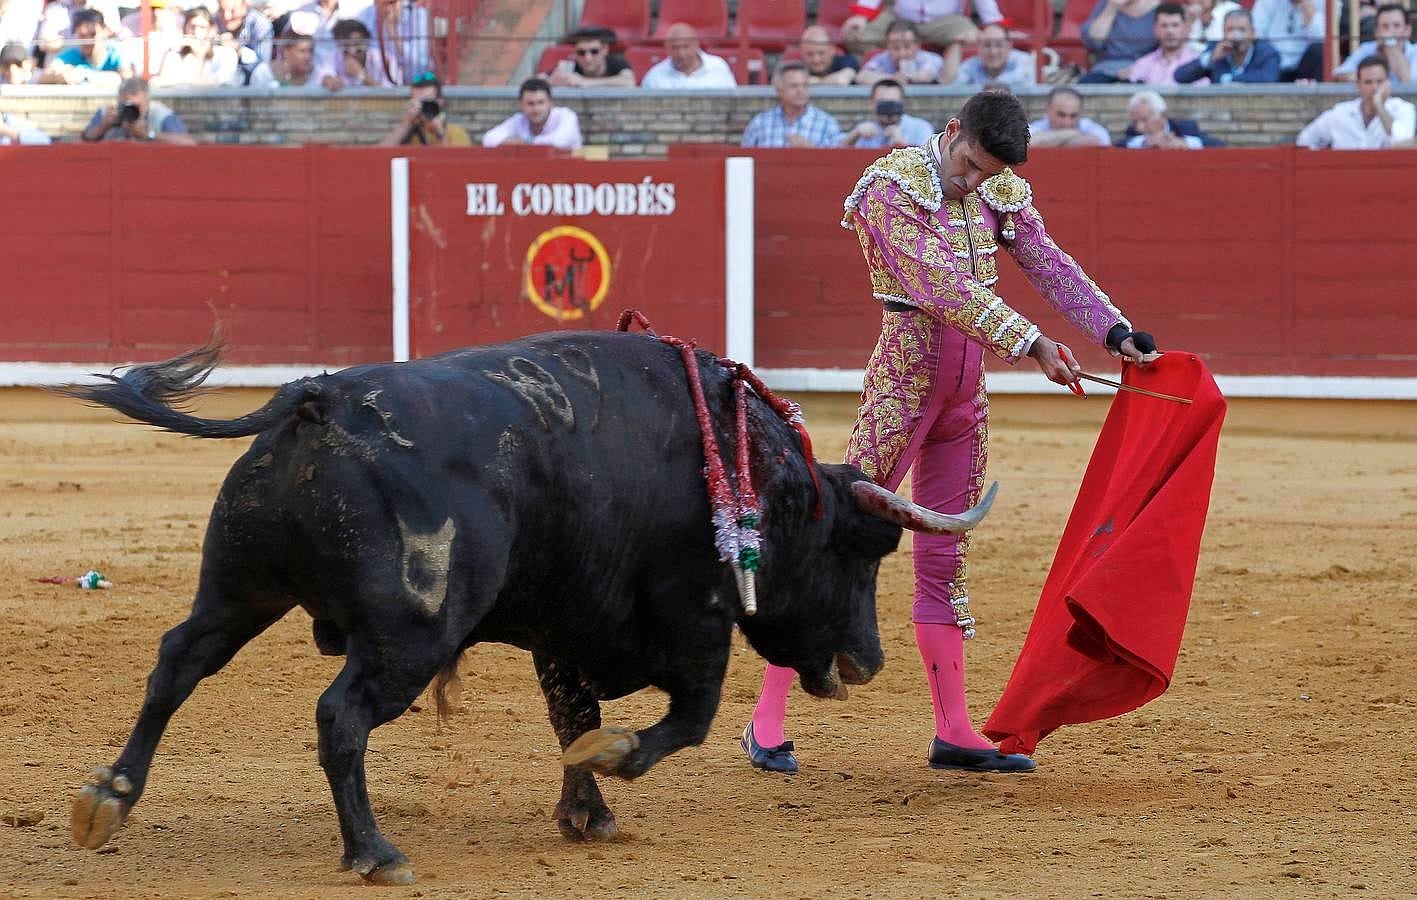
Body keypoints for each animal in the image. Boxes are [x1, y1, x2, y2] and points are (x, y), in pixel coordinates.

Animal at [63, 327, 997, 884]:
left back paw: (109, 797)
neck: (751, 474)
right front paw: (614, 762)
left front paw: (587, 812)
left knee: (177, 663)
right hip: (407, 635)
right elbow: (683, 718)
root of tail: (317, 403)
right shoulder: (695, 618)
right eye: (859, 553)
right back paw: (374, 852)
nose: (867, 661)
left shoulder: (565, 624)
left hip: (240, 587)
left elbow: (569, 714)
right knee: (340, 715)